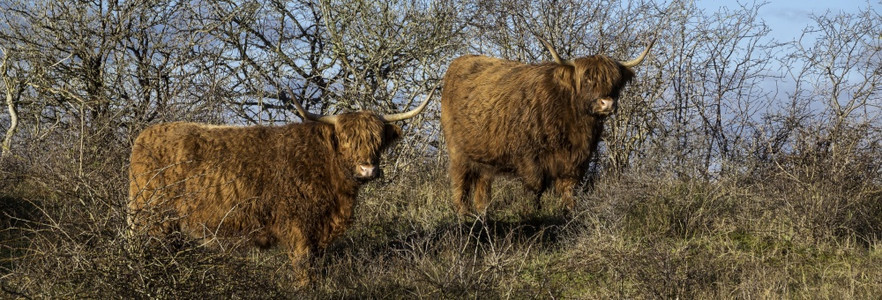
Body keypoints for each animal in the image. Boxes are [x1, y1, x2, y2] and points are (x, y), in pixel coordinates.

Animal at [126, 88, 434, 284]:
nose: (367, 169)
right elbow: (303, 269)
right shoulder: (299, 226)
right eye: (346, 141)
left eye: (377, 140)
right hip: (149, 218)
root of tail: (146, 134)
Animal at [444, 38, 648, 214]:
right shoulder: (528, 157)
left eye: (615, 81)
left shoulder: (576, 161)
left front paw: (569, 215)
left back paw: (482, 214)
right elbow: (535, 188)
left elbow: (569, 190)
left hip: (484, 156)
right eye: (587, 79)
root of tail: (459, 62)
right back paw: (464, 215)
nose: (607, 103)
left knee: (482, 184)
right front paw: (531, 214)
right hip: (458, 152)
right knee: (460, 184)